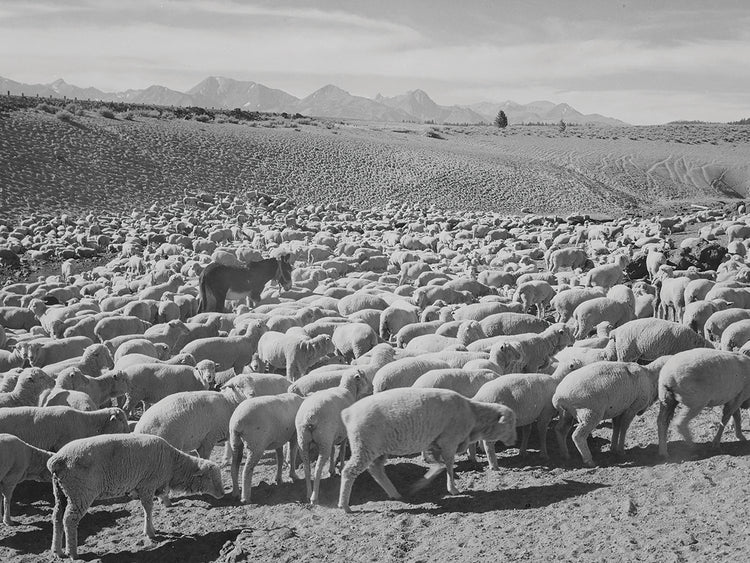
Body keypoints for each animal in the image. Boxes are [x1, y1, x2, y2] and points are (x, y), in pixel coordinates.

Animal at [48, 433, 224, 559]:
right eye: (210, 478)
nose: (222, 494)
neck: (173, 465)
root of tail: (57, 460)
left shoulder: (145, 486)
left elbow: (147, 508)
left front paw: (151, 529)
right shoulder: (147, 485)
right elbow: (148, 508)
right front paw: (150, 532)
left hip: (61, 492)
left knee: (57, 516)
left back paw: (57, 551)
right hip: (80, 492)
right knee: (69, 519)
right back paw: (72, 553)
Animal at [296, 371, 372, 504]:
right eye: (364, 377)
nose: (372, 387)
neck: (348, 390)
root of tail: (309, 416)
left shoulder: (332, 437)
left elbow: (332, 451)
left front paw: (332, 469)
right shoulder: (344, 435)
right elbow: (341, 451)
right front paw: (340, 467)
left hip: (303, 441)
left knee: (306, 468)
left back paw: (308, 494)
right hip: (323, 440)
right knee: (317, 469)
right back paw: (314, 498)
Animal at [337, 388, 517, 512]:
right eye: (510, 424)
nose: (515, 441)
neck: (473, 416)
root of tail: (348, 412)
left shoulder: (435, 443)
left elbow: (439, 465)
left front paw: (423, 481)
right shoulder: (449, 441)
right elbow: (448, 465)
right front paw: (453, 489)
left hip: (378, 448)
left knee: (376, 469)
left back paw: (394, 493)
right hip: (364, 446)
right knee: (349, 472)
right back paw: (344, 505)